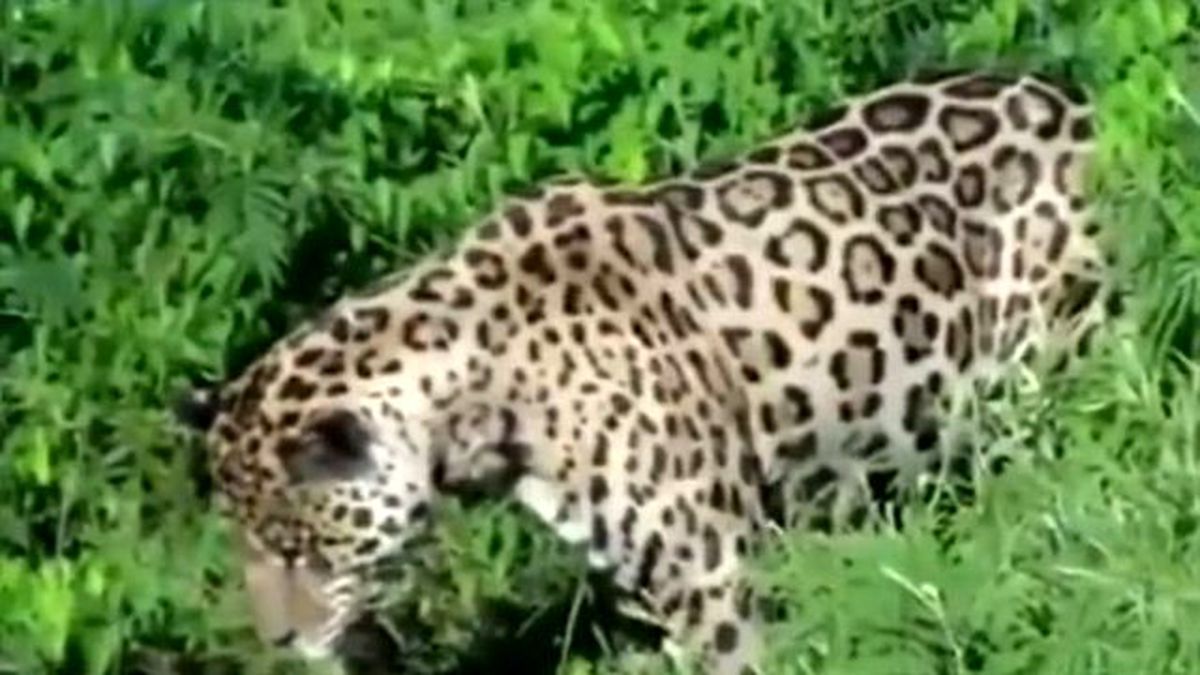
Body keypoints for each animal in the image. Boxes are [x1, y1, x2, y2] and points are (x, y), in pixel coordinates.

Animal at [174, 70, 1116, 675]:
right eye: (247, 546)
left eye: (299, 550)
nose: (281, 644)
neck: (480, 403)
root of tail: (1076, 100)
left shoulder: (708, 565)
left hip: (1059, 350)